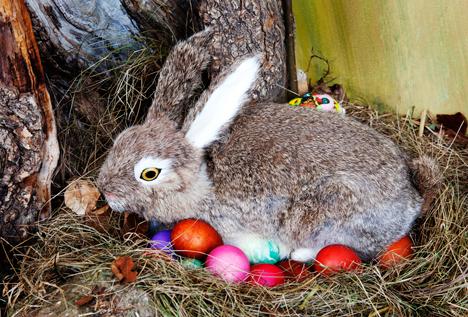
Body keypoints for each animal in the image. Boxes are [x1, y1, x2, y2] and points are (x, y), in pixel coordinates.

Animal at [97, 41, 440, 262]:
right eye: (119, 141)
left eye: (149, 173)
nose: (105, 191)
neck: (203, 177)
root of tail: (411, 199)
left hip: (326, 210)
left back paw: (299, 253)